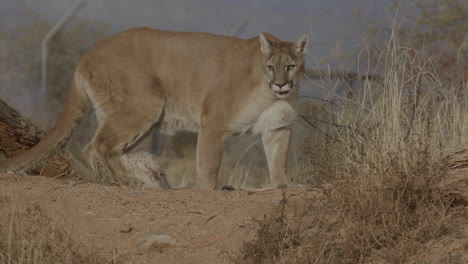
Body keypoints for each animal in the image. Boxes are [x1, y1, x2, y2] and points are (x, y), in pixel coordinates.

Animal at [0, 28, 308, 190]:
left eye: (291, 66)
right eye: (271, 67)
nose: (281, 84)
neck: (269, 95)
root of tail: (88, 53)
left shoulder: (278, 127)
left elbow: (278, 161)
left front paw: (284, 187)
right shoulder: (214, 123)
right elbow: (208, 165)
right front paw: (211, 190)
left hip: (142, 119)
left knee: (94, 147)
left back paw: (110, 181)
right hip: (144, 106)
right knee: (100, 145)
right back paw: (128, 181)